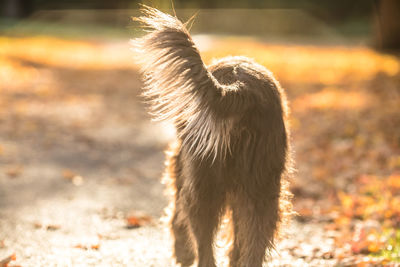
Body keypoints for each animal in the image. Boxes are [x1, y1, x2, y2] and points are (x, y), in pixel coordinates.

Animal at [133, 6, 292, 267]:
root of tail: (239, 88)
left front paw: (182, 252)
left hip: (201, 180)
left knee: (203, 242)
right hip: (261, 186)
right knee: (255, 239)